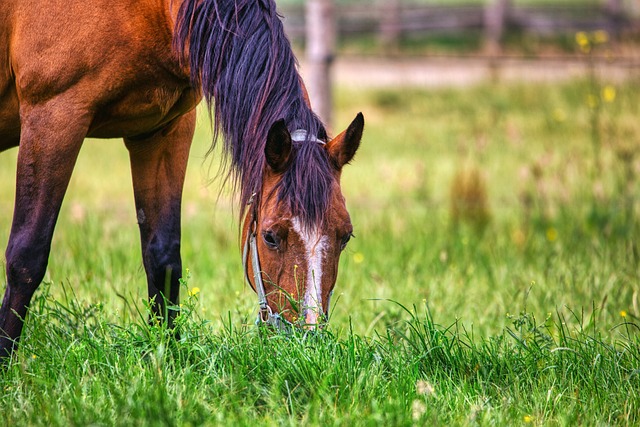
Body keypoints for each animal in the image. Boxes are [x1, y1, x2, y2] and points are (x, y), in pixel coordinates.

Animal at [0, 0, 364, 358]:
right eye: (271, 237)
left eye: (345, 236)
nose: (307, 344)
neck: (154, 11)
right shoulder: (54, 115)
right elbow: (27, 254)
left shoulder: (163, 131)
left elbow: (163, 256)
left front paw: (167, 355)